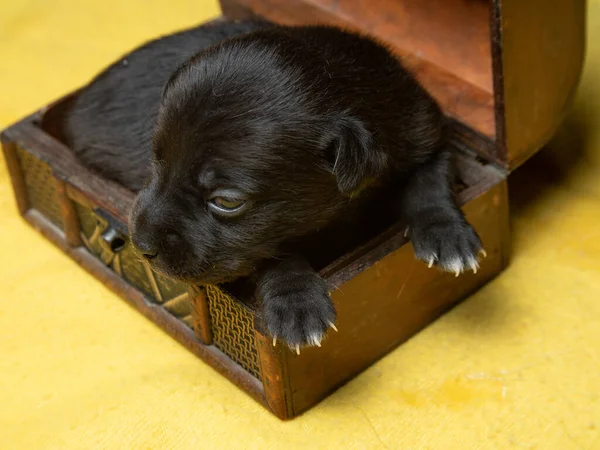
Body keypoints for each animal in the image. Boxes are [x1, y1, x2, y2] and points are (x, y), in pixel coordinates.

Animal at [67, 21, 482, 352]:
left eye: (225, 201)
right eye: (155, 163)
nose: (142, 246)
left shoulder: (426, 132)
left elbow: (429, 184)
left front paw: (447, 236)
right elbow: (271, 254)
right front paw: (296, 303)